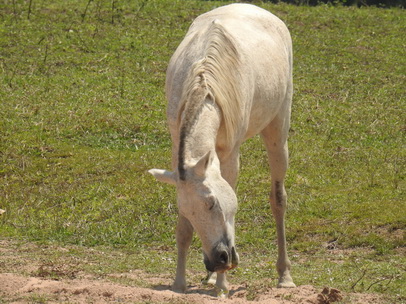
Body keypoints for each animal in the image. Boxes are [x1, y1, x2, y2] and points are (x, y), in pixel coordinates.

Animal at [149, 3, 294, 296]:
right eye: (188, 210)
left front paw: (221, 287)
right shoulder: (177, 151)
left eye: (212, 203)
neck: (206, 87)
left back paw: (284, 276)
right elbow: (183, 231)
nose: (219, 260)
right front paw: (179, 283)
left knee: (278, 199)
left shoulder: (230, 156)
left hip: (278, 129)